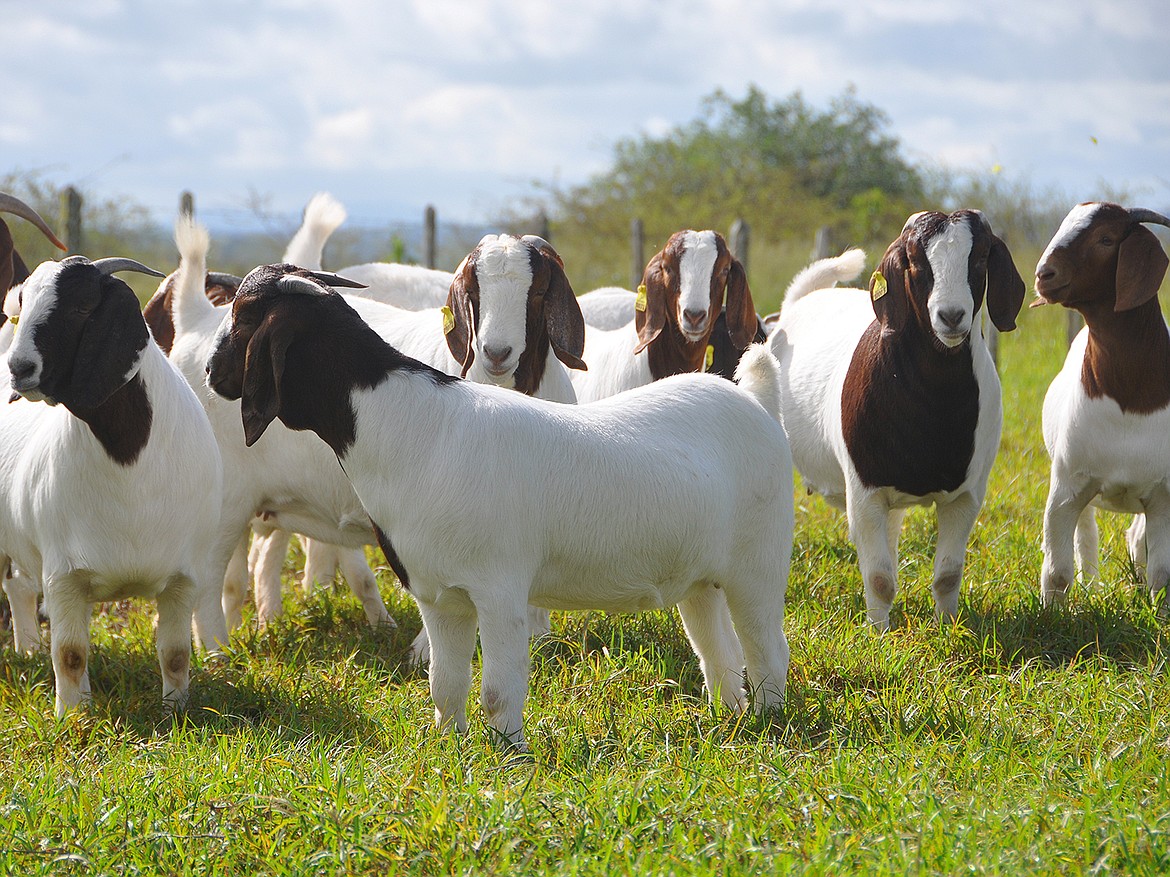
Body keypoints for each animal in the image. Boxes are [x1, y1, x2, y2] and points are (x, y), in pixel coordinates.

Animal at [208, 264, 795, 753]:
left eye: (243, 318)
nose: (212, 374)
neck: (411, 426)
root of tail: (756, 398)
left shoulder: (500, 590)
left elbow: (496, 690)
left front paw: (508, 756)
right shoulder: (439, 595)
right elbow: (445, 686)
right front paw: (451, 746)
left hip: (758, 562)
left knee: (766, 649)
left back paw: (768, 722)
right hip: (700, 578)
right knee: (719, 653)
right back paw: (728, 718)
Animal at [772, 209, 1029, 626]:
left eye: (979, 259)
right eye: (916, 262)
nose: (951, 316)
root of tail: (802, 300)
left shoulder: (967, 496)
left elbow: (947, 574)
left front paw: (947, 627)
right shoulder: (864, 492)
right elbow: (878, 579)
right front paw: (878, 633)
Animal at [1034, 203, 1170, 608]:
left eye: (1106, 239)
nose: (1043, 274)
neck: (1128, 400)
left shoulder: (1164, 497)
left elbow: (1162, 574)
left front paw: (1159, 616)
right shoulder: (1066, 487)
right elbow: (1057, 572)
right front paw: (1052, 617)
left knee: (1138, 539)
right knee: (1086, 535)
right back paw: (1092, 586)